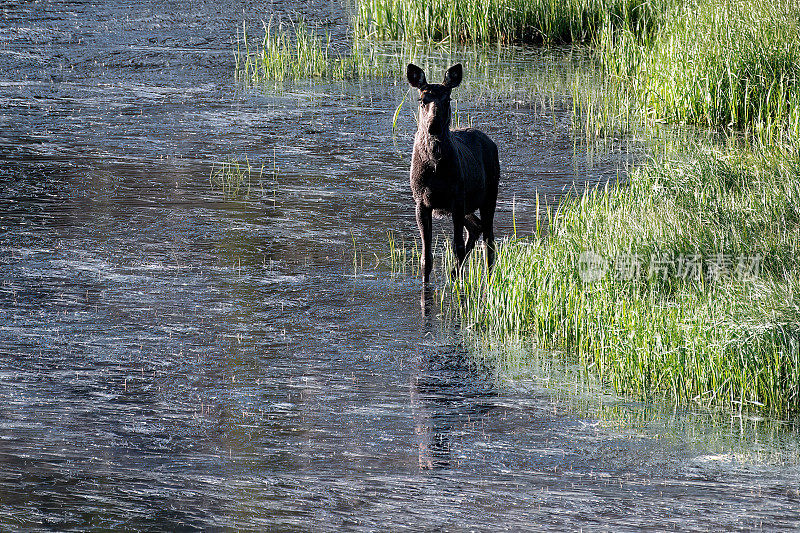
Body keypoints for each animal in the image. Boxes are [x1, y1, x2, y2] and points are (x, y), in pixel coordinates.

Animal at [406, 62, 500, 282]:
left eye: (447, 99)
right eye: (422, 99)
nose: (433, 126)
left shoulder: (456, 199)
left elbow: (457, 247)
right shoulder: (421, 202)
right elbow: (426, 258)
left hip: (489, 195)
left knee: (489, 239)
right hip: (467, 205)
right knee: (476, 227)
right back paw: (454, 273)